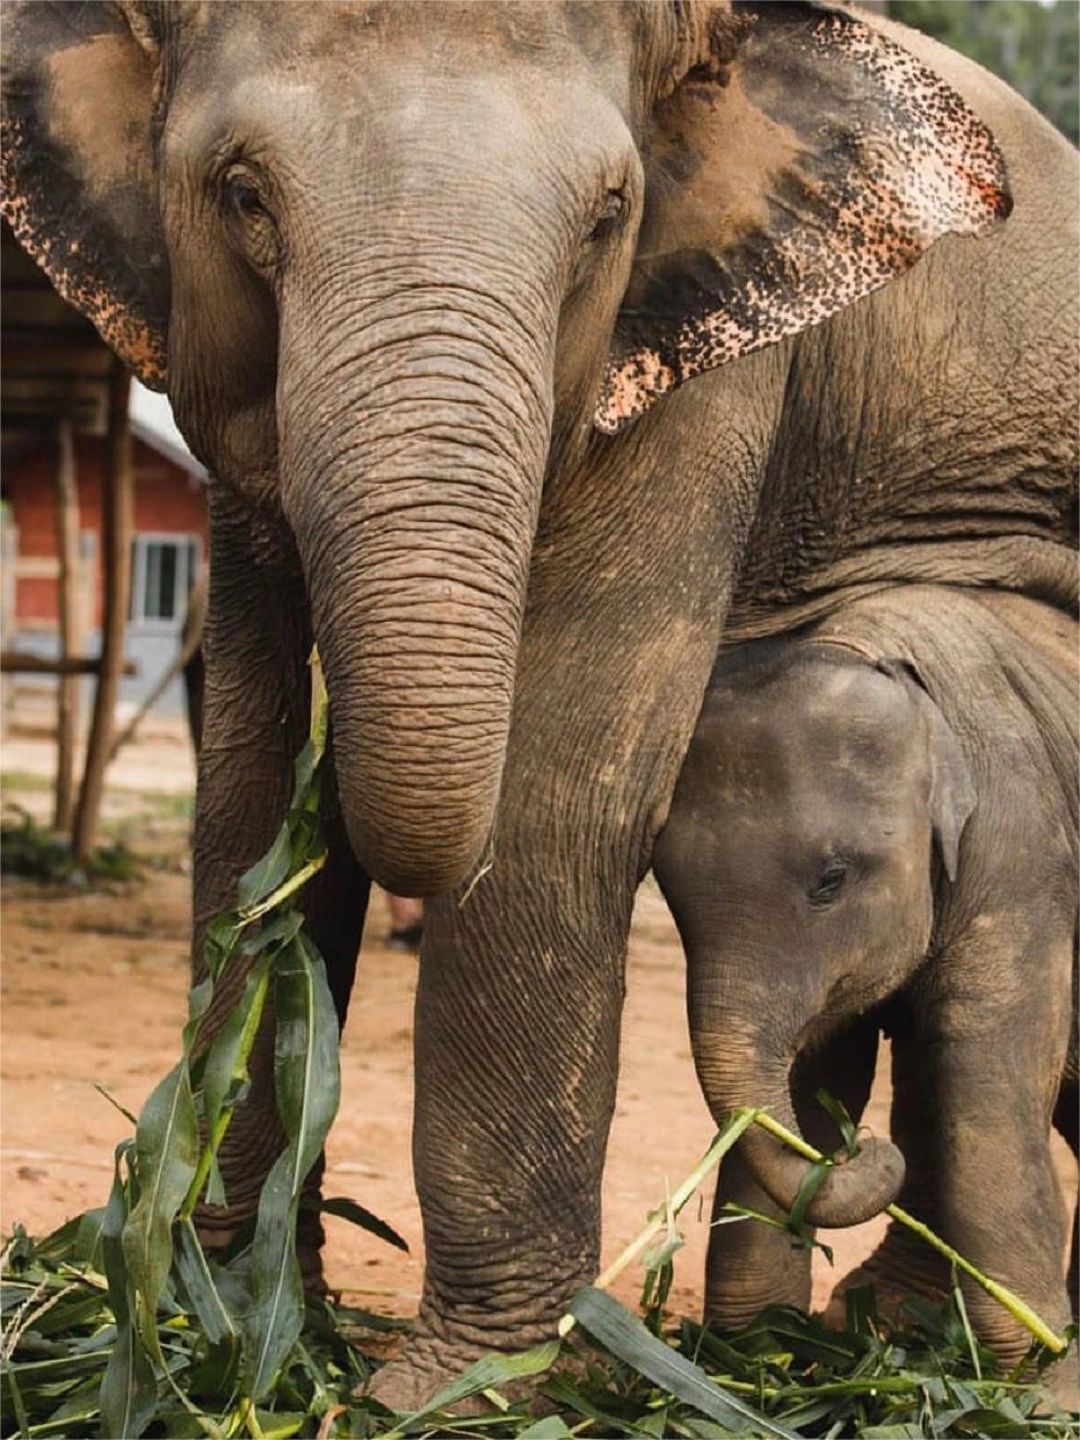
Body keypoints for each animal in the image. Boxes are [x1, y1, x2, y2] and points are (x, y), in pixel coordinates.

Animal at [656, 587, 1077, 1370]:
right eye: (666, 892)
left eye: (831, 878)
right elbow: (814, 1077)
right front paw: (757, 1358)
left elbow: (984, 1073)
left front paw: (1033, 1375)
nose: (866, 1144)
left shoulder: (1025, 850)